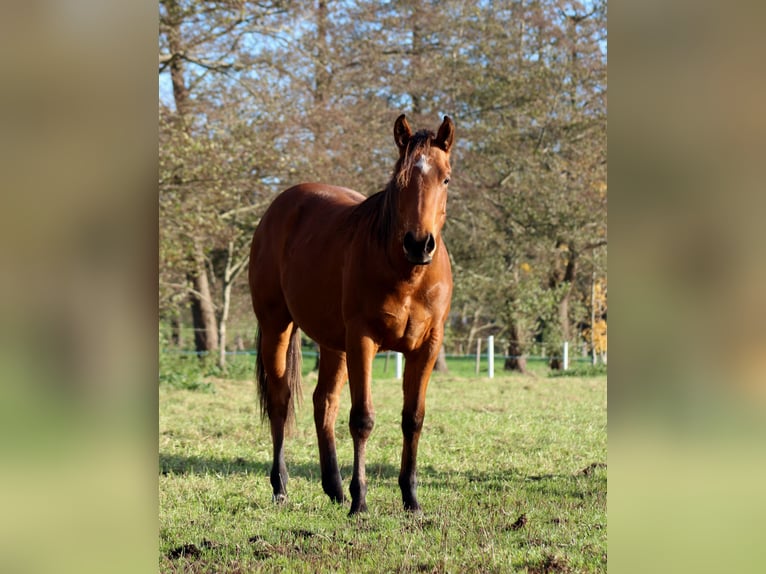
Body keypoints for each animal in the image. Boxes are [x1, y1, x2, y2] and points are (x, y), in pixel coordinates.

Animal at [248, 114, 454, 515]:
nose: (418, 244)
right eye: (400, 180)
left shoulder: (427, 347)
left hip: (334, 345)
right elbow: (362, 420)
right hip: (277, 327)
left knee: (323, 402)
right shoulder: (362, 340)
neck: (406, 274)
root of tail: (280, 207)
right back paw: (281, 486)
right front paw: (360, 501)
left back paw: (334, 487)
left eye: (446, 178)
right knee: (281, 400)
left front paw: (411, 499)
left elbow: (413, 419)